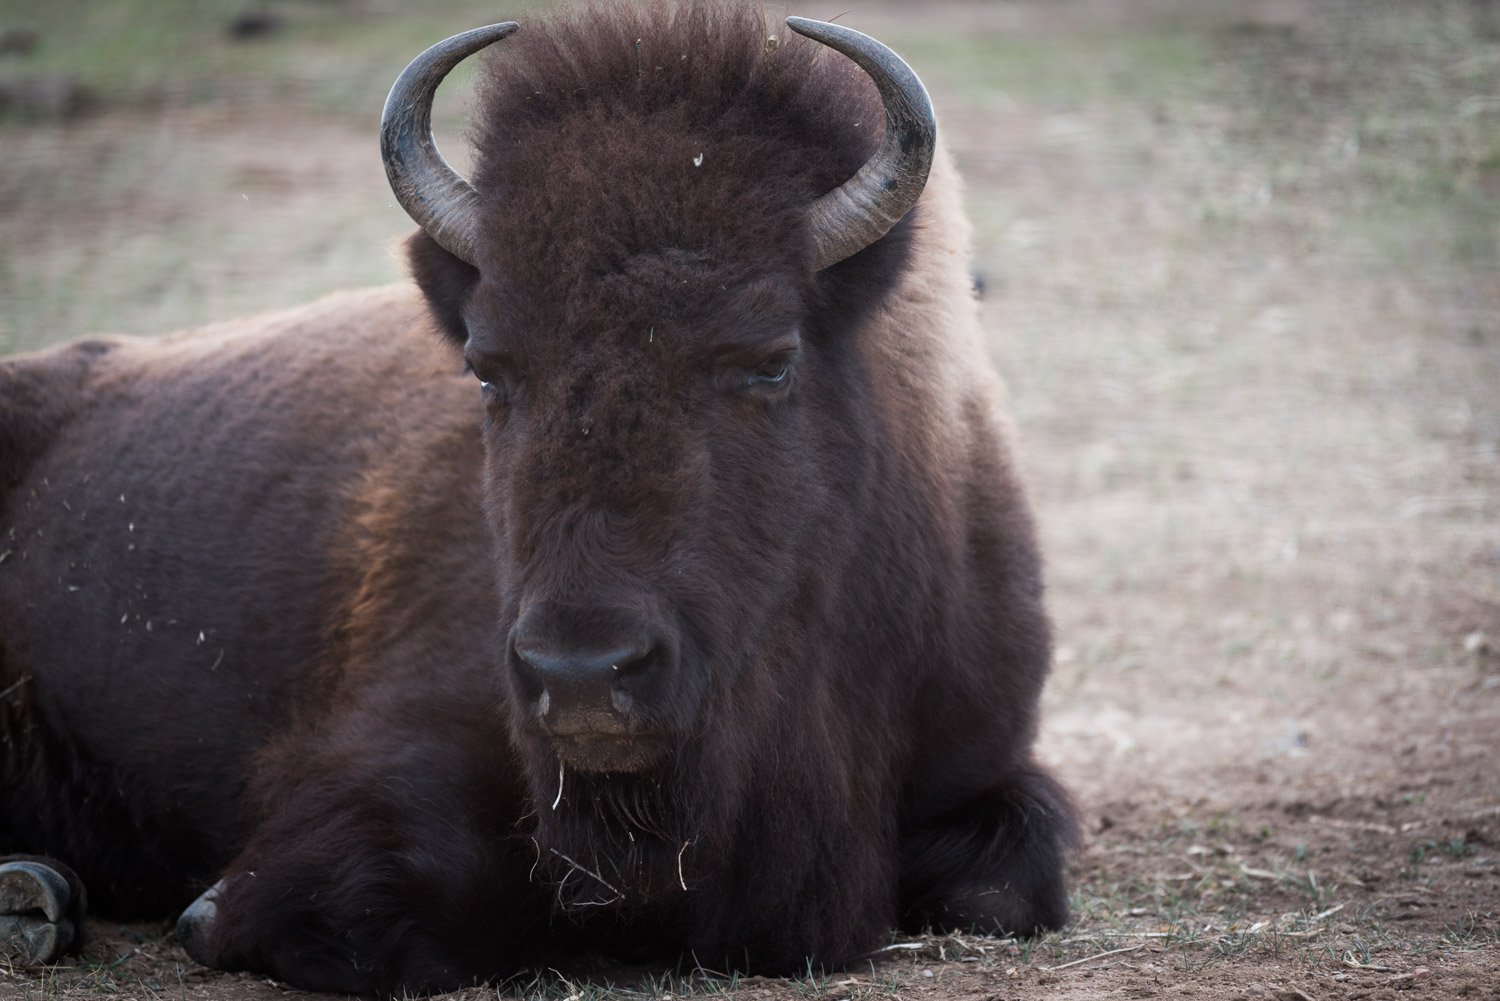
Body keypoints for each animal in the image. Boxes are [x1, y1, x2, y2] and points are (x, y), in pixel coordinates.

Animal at [0, 1, 1076, 994]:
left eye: (770, 359)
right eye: (486, 366)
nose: (583, 674)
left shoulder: (982, 758)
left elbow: (1002, 888)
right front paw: (212, 909)